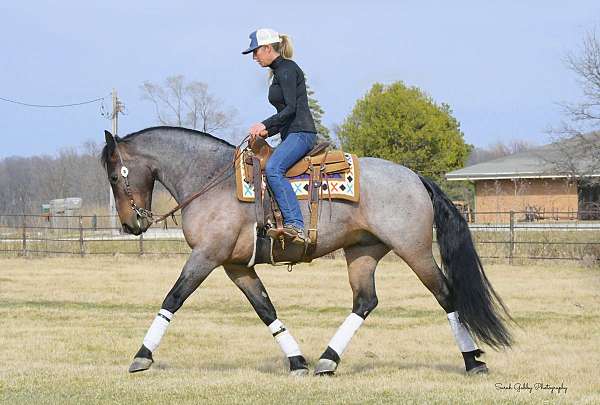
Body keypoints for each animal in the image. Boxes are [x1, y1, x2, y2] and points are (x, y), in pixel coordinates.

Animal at [99, 125, 510, 376]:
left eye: (114, 175)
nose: (130, 225)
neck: (211, 180)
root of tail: (414, 177)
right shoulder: (236, 266)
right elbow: (266, 309)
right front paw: (297, 361)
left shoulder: (206, 256)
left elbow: (173, 297)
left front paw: (141, 356)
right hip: (362, 252)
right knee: (365, 301)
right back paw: (327, 360)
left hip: (415, 250)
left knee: (445, 295)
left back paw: (472, 360)